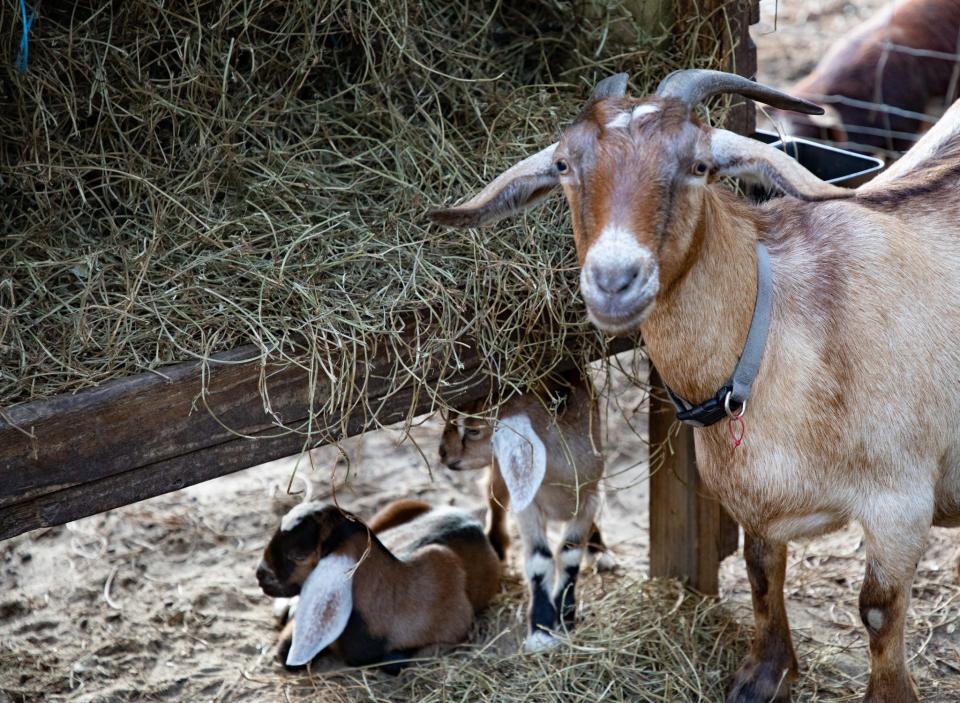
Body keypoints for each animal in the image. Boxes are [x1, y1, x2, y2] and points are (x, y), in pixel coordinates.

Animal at [436, 372, 612, 652]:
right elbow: (540, 558)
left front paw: (565, 616)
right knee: (495, 495)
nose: (443, 452)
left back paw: (600, 550)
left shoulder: (588, 500)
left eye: (474, 430)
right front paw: (541, 630)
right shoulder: (529, 506)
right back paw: (496, 543)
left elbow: (570, 555)